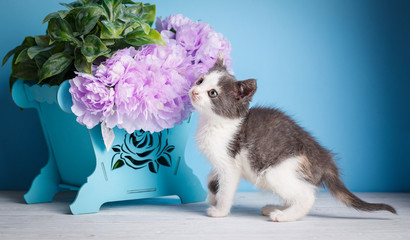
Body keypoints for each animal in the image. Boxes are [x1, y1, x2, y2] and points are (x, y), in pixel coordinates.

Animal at [189, 55, 398, 221]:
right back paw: (276, 208)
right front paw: (212, 194)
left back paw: (283, 215)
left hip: (275, 171)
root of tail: (324, 158)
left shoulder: (230, 165)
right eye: (200, 81)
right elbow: (211, 178)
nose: (193, 91)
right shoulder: (220, 163)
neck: (215, 123)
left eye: (213, 93)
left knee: (307, 196)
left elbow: (226, 189)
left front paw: (219, 210)